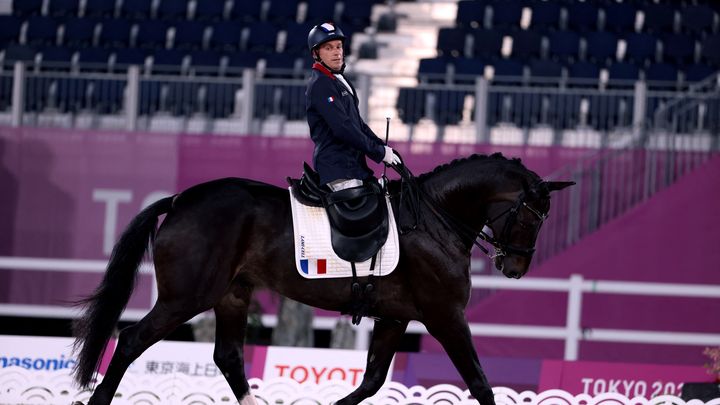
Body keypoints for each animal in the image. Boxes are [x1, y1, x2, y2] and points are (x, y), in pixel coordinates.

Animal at [70, 152, 572, 404]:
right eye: (533, 217)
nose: (515, 268)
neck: (434, 219)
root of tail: (178, 200)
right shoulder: (445, 316)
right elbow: (481, 384)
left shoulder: (395, 317)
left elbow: (372, 381)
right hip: (186, 297)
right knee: (131, 340)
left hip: (232, 294)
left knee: (228, 357)